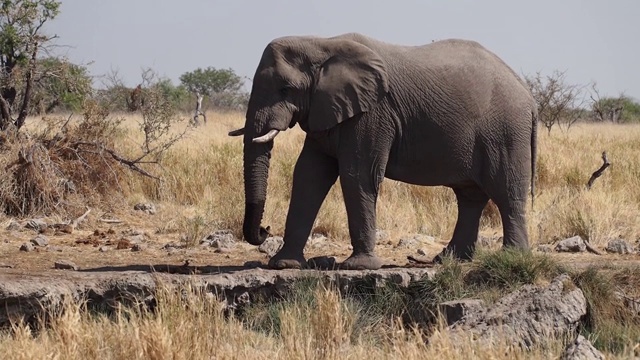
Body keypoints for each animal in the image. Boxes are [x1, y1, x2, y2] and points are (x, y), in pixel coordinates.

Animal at [228, 33, 536, 270]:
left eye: (286, 89)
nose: (265, 230)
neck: (321, 43)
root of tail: (528, 95)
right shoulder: (325, 110)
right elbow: (308, 175)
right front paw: (284, 265)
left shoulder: (372, 113)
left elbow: (356, 175)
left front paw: (359, 267)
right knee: (470, 196)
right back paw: (449, 260)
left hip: (506, 132)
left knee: (506, 192)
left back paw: (513, 258)